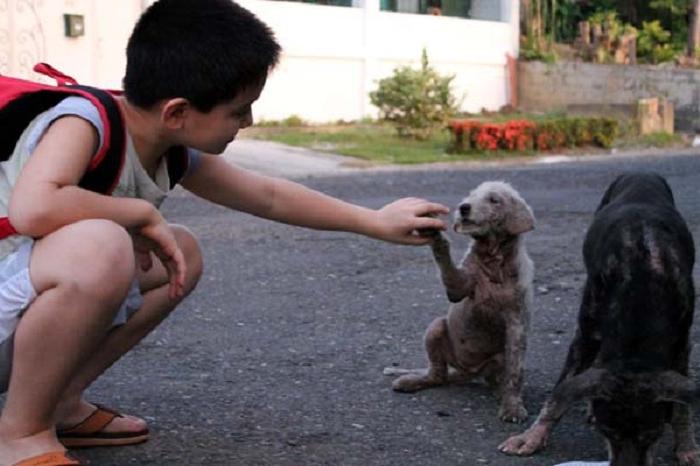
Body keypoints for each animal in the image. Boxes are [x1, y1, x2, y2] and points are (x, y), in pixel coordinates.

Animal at [500, 174, 696, 466]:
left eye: (653, 434)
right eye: (608, 432)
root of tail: (641, 173)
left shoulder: (681, 341)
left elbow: (682, 405)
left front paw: (686, 444)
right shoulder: (586, 333)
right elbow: (558, 394)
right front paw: (533, 436)